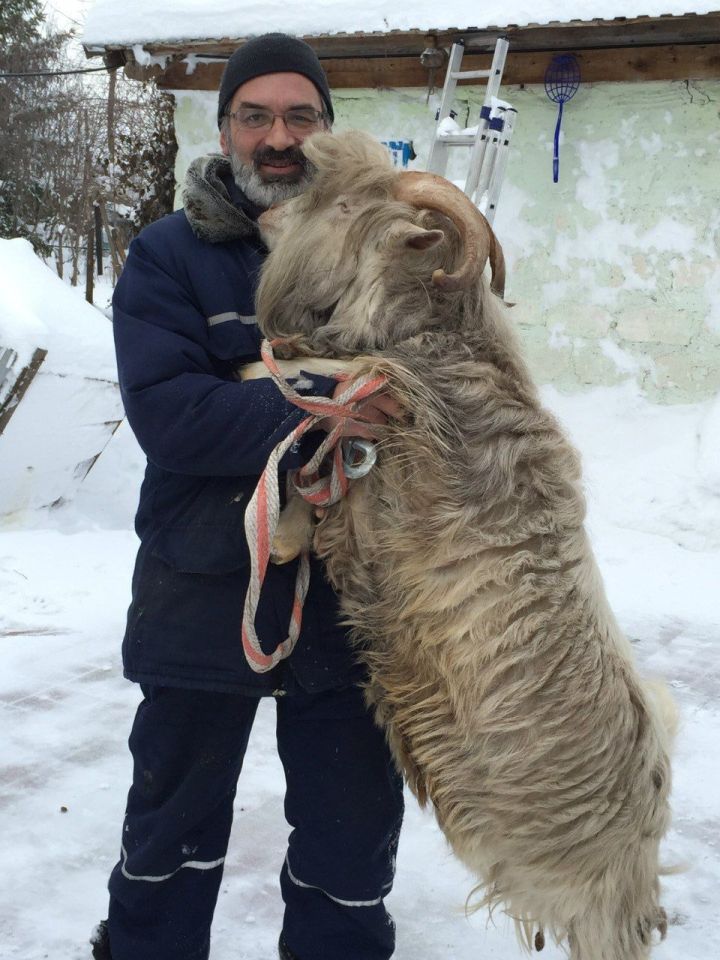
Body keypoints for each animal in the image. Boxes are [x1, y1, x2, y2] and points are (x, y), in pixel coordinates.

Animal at [246, 131, 676, 956]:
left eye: (347, 208)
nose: (268, 221)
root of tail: (643, 847)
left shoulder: (382, 463)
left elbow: (315, 399)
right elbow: (312, 432)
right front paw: (282, 532)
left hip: (592, 912)